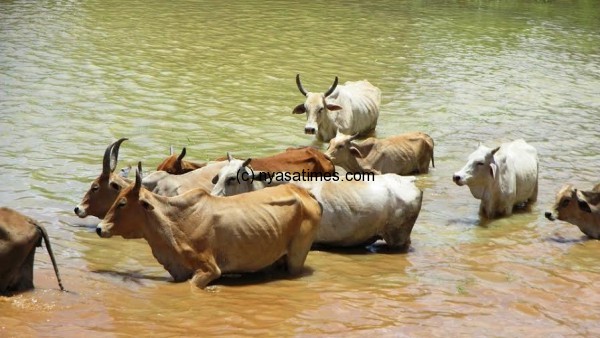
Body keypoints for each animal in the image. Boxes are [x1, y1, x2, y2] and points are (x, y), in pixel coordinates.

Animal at [97, 164, 324, 288]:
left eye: (122, 203)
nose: (100, 228)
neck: (174, 221)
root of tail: (304, 193)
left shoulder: (209, 270)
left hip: (297, 256)